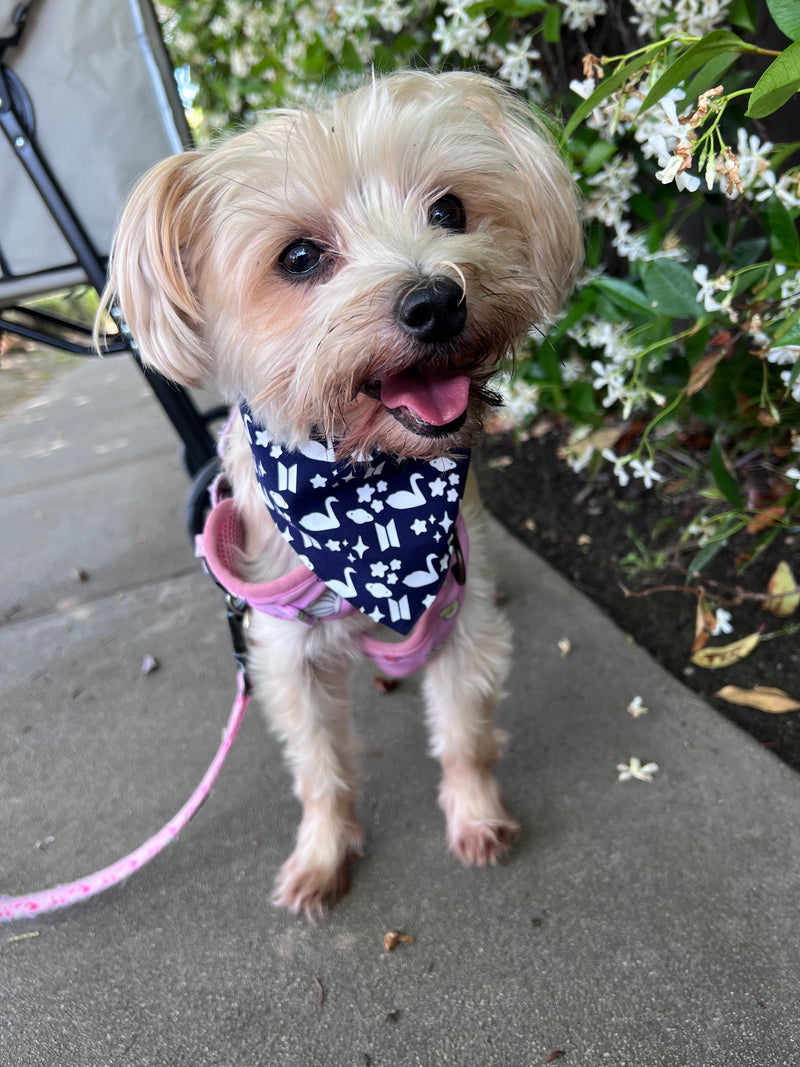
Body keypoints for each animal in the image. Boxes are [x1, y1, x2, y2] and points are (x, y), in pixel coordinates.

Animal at [103, 70, 584, 913]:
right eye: (298, 256)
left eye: (449, 210)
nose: (437, 300)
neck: (367, 489)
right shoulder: (285, 656)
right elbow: (320, 768)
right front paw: (324, 854)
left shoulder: (460, 620)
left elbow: (464, 733)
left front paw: (476, 816)